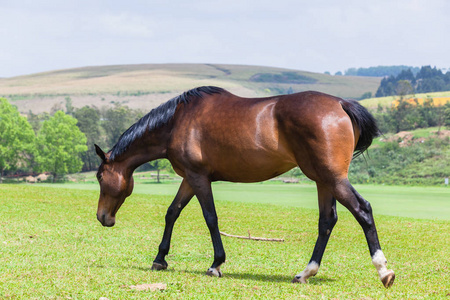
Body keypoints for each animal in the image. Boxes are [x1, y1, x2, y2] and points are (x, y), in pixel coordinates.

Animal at [94, 85, 394, 288]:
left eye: (99, 177)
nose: (102, 217)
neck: (177, 121)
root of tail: (341, 104)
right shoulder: (189, 178)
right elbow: (172, 212)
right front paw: (160, 259)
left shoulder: (198, 178)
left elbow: (210, 218)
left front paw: (216, 264)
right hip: (323, 180)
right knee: (327, 221)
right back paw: (305, 273)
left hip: (332, 178)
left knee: (363, 210)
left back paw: (383, 271)